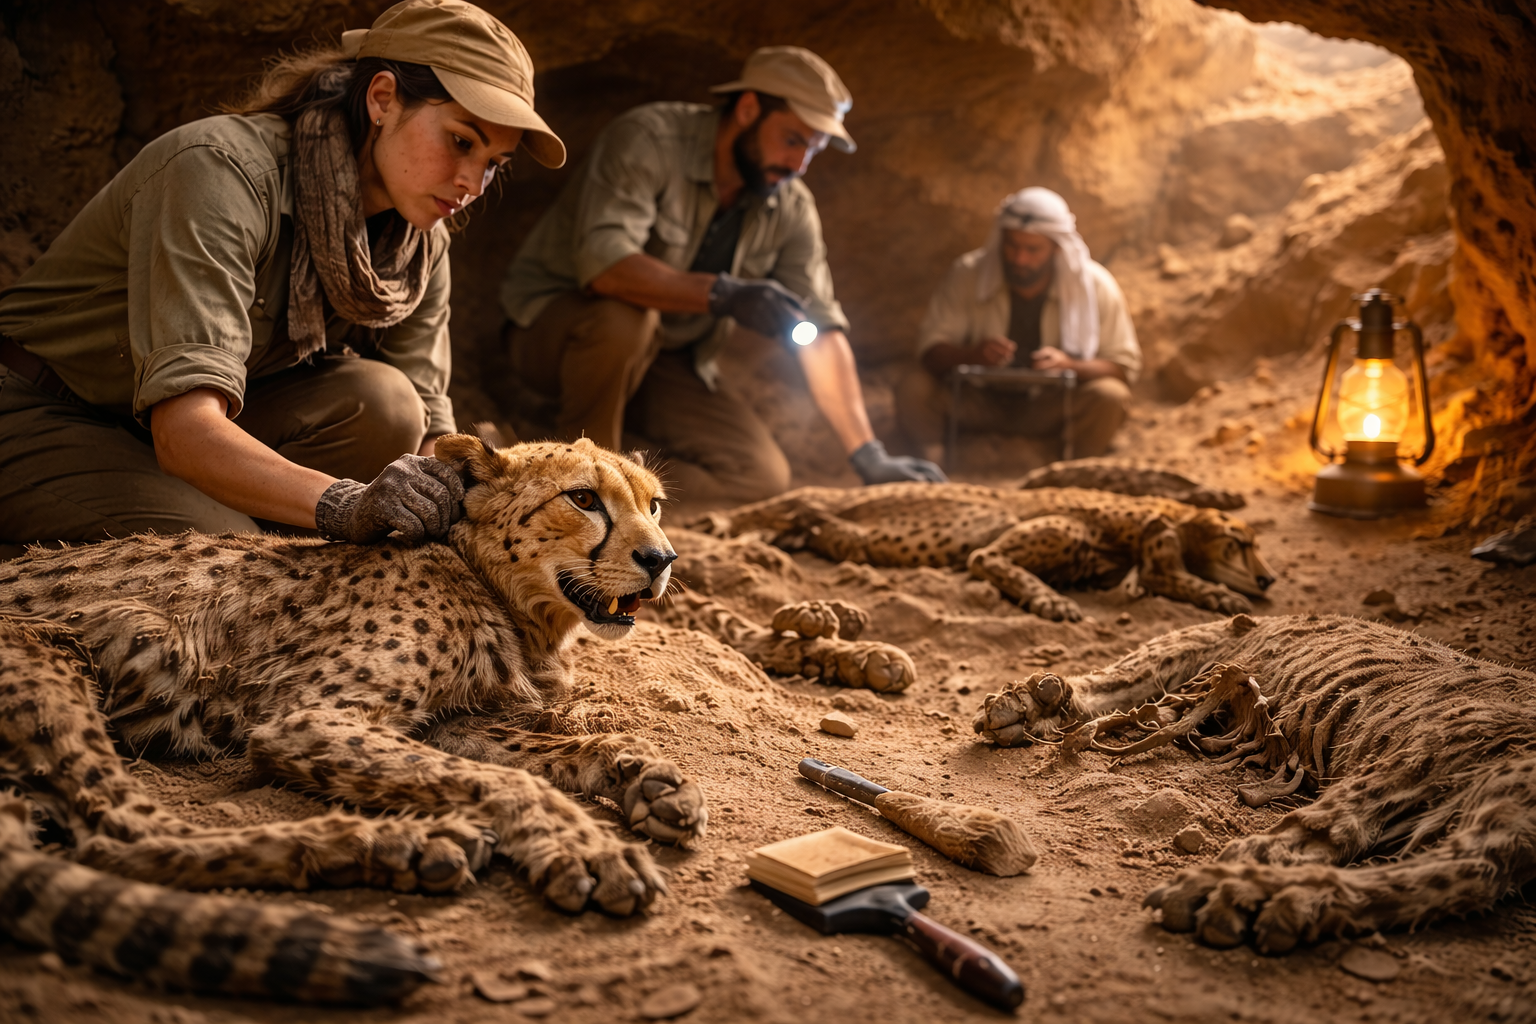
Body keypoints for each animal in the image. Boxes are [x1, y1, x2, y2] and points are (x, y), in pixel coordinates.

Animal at [0, 434, 738, 1000]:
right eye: (583, 499)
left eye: (654, 504)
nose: (661, 558)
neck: (491, 586)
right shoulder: (307, 718)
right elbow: (516, 781)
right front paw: (588, 847)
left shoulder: (454, 724)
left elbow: (548, 752)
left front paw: (649, 779)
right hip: (48, 657)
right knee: (118, 834)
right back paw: (396, 844)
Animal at [971, 613, 1536, 953]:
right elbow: (1121, 683)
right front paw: (1031, 706)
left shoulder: (1206, 648)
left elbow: (1125, 674)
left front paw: (1030, 704)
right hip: (1481, 786)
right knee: (1466, 868)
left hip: (1438, 745)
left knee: (1320, 833)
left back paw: (1236, 892)